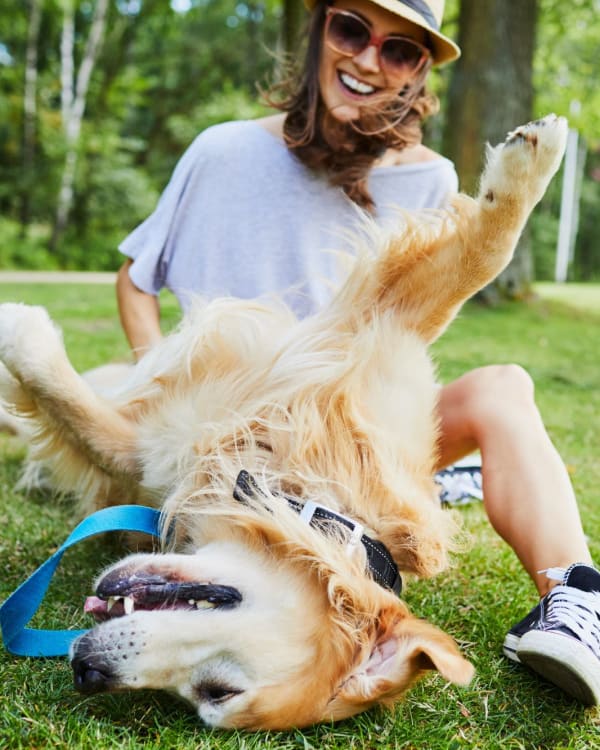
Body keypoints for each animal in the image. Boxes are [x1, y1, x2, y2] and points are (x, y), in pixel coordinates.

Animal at [0, 116, 568, 728]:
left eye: (214, 692)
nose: (87, 671)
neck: (299, 485)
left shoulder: (145, 454)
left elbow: (75, 414)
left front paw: (22, 331)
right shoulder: (375, 333)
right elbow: (480, 260)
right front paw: (531, 161)